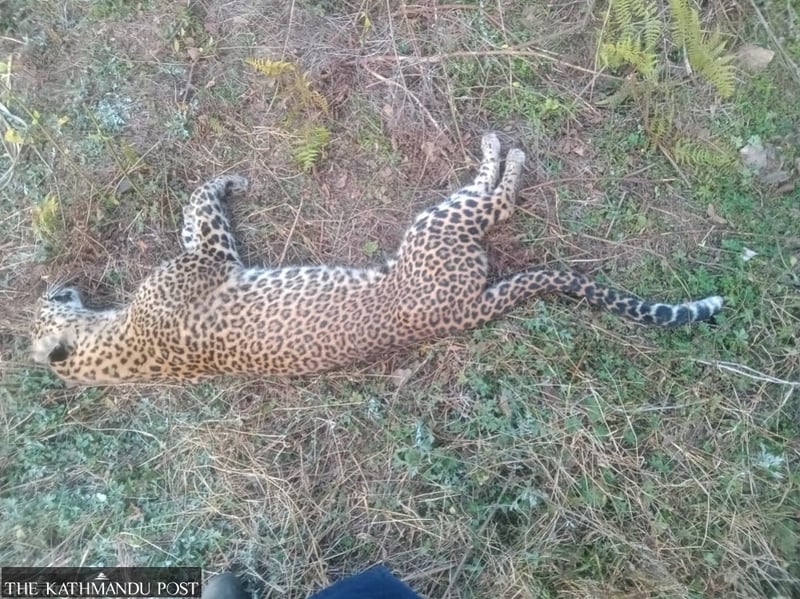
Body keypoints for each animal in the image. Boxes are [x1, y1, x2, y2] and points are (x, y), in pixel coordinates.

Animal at [30, 133, 723, 386]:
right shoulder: (210, 257)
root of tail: (463, 312)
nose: (57, 284)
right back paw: (503, 148)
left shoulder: (207, 256)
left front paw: (228, 180)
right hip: (436, 229)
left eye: (48, 300)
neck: (107, 343)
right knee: (495, 199)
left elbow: (191, 209)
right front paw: (228, 182)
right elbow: (199, 211)